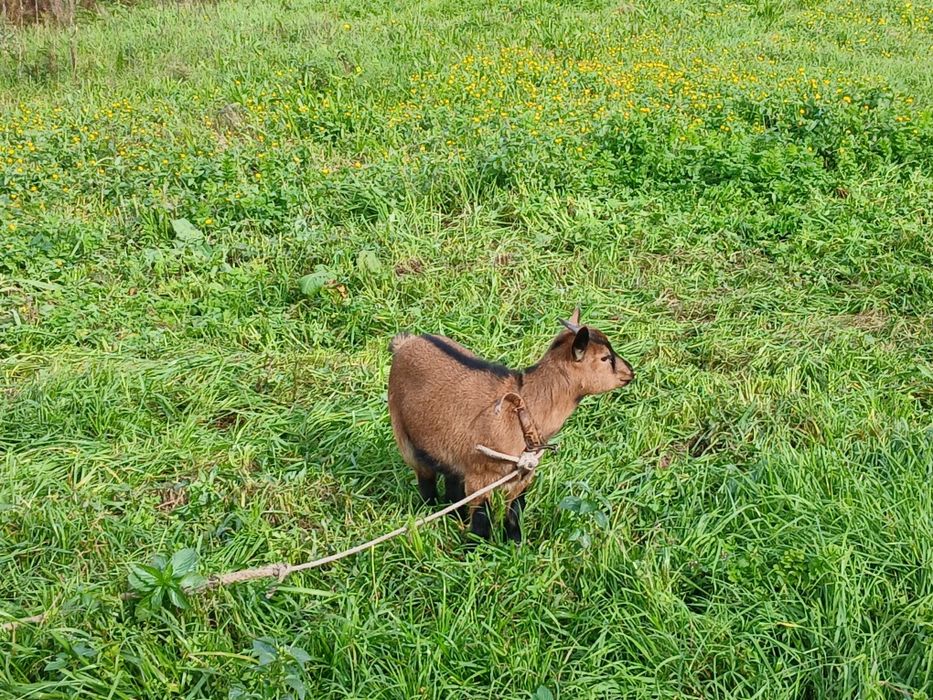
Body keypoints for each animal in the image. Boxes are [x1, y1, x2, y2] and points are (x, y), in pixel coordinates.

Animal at [387, 309, 634, 544]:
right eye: (605, 358)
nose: (630, 372)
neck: (524, 409)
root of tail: (407, 342)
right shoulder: (481, 475)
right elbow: (482, 517)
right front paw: (474, 549)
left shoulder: (524, 473)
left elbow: (516, 510)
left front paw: (515, 544)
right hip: (404, 434)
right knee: (425, 475)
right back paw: (428, 510)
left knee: (452, 479)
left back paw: (454, 516)